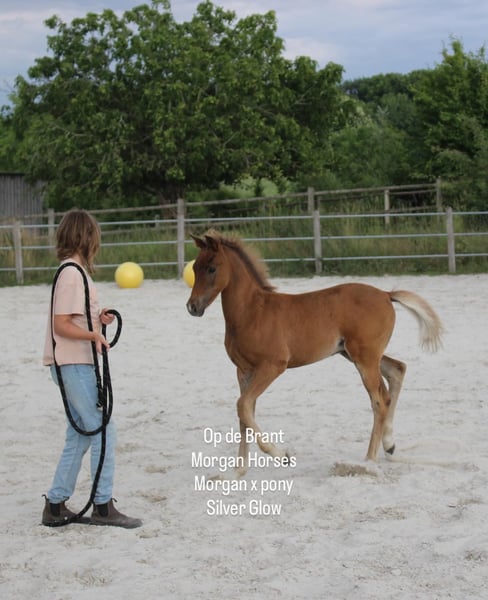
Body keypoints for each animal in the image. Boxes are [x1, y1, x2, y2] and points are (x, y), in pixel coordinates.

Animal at [186, 230, 443, 477]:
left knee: (379, 400)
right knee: (396, 371)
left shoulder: (272, 366)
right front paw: (237, 472)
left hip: (365, 358)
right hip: (356, 354)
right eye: (195, 268)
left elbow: (243, 406)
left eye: (212, 268)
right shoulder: (243, 371)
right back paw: (389, 444)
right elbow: (244, 414)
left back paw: (369, 461)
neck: (251, 312)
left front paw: (282, 455)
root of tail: (385, 294)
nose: (192, 307)